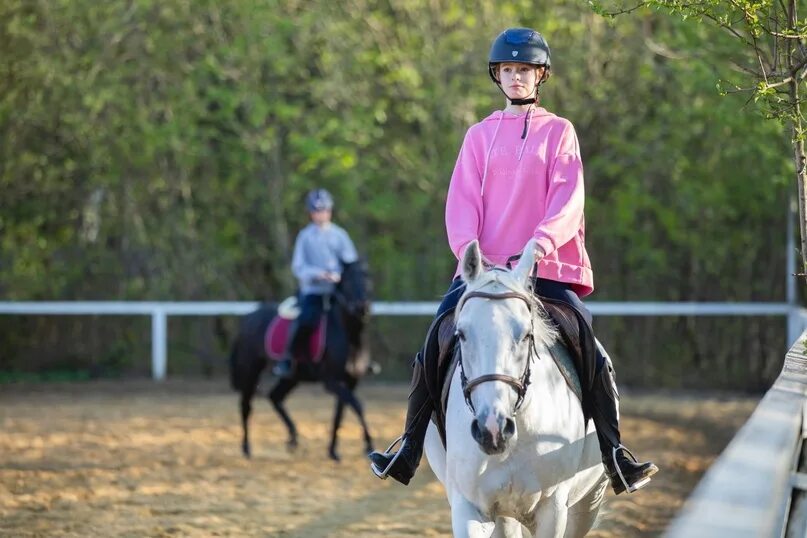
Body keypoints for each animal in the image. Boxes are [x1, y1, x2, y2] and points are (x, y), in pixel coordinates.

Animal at [229, 258, 378, 458]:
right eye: (347, 281)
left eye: (367, 277)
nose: (362, 307)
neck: (349, 334)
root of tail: (248, 319)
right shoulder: (331, 380)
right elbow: (357, 405)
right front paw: (368, 445)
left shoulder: (351, 380)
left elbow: (341, 412)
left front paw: (333, 451)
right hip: (250, 369)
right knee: (246, 405)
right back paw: (246, 448)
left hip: (292, 377)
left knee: (274, 397)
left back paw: (292, 438)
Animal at [426, 240, 608, 536]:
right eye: (461, 334)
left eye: (526, 334)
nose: (492, 429)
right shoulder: (470, 506)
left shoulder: (552, 508)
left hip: (589, 499)